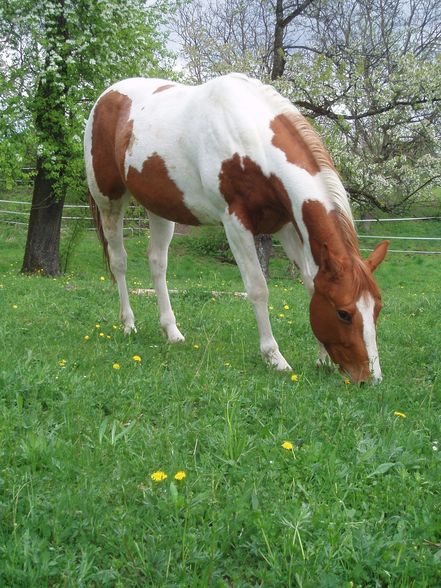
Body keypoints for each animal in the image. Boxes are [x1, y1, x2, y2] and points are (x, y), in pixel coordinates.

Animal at [84, 73, 386, 384]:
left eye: (377, 308)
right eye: (343, 314)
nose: (370, 379)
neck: (251, 141)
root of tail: (107, 96)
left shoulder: (285, 224)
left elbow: (310, 282)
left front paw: (322, 358)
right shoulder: (236, 224)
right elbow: (258, 288)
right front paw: (275, 358)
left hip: (160, 209)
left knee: (157, 263)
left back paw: (172, 332)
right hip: (109, 201)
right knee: (119, 262)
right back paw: (128, 324)